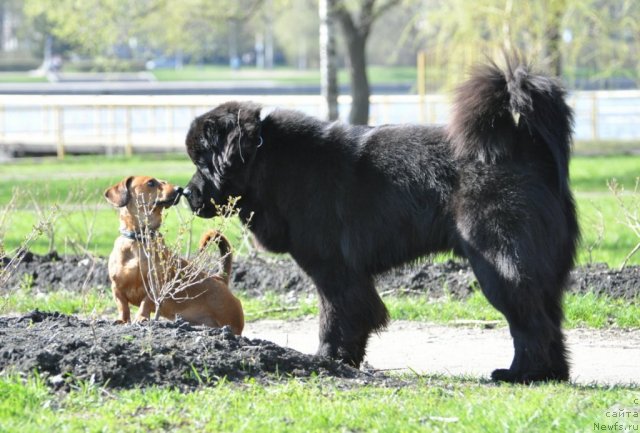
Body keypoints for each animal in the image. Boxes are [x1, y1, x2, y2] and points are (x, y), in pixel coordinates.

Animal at [104, 176, 244, 334]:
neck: (138, 241)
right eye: (151, 182)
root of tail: (220, 279)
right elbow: (122, 306)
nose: (180, 189)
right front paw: (122, 320)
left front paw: (141, 318)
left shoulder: (155, 287)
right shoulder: (116, 287)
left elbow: (145, 302)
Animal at [181, 60, 580, 382]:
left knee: (530, 323)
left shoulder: (334, 271)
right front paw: (344, 362)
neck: (268, 162)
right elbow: (351, 318)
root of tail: (525, 148)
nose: (187, 193)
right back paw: (551, 374)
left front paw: (327, 359)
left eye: (202, 161)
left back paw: (521, 374)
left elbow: (338, 316)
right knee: (550, 320)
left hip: (500, 263)